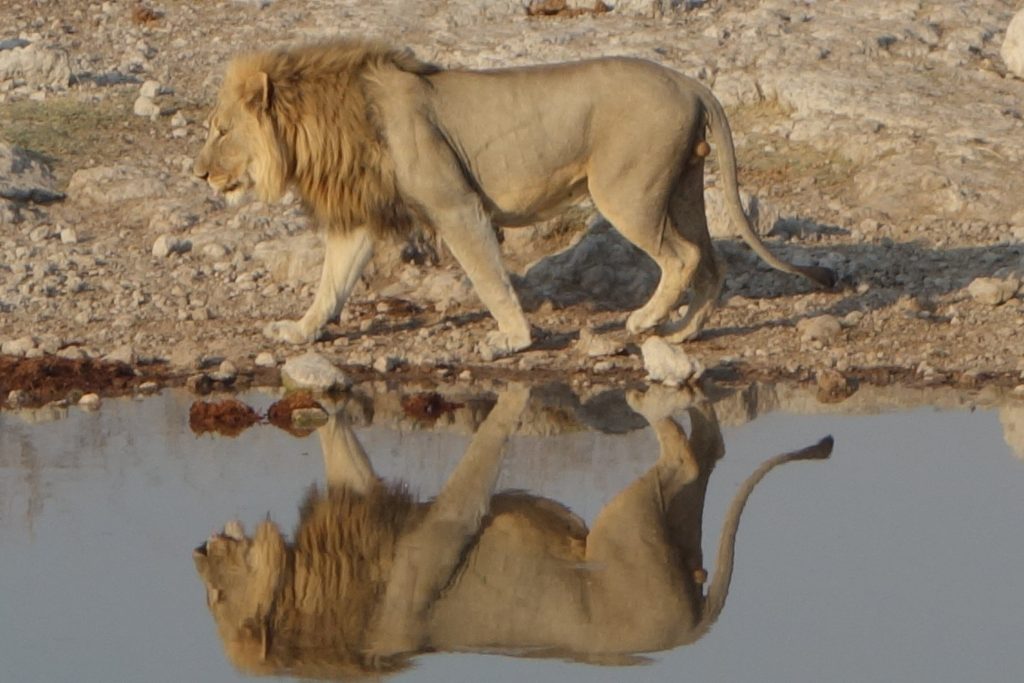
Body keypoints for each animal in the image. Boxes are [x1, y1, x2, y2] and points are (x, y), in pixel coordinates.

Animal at [193, 40, 837, 356]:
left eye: (221, 130)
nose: (198, 173)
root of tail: (691, 81)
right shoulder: (362, 221)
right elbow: (332, 282)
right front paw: (300, 332)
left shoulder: (456, 205)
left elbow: (488, 277)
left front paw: (512, 339)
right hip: (681, 189)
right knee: (714, 261)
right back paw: (682, 334)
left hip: (627, 191)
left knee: (683, 257)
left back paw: (642, 321)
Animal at [193, 386, 833, 675]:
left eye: (217, 595)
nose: (197, 549)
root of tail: (690, 631)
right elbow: (341, 447)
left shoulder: (440, 529)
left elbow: (479, 456)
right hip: (671, 526)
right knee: (709, 452)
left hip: (623, 525)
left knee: (685, 458)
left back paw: (645, 389)